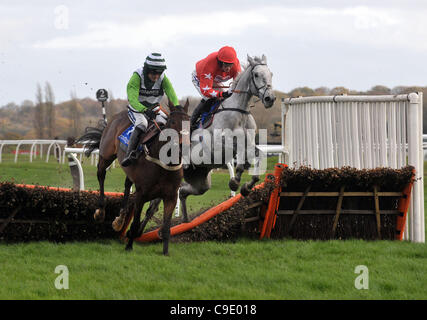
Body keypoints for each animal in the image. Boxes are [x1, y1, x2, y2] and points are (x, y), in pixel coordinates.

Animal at [77, 100, 191, 255]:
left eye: (189, 122)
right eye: (173, 122)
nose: (183, 146)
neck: (164, 163)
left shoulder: (171, 197)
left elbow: (166, 227)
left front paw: (165, 252)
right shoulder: (141, 195)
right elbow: (136, 222)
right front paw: (129, 246)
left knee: (126, 185)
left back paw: (120, 219)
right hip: (106, 154)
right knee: (101, 175)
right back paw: (100, 211)